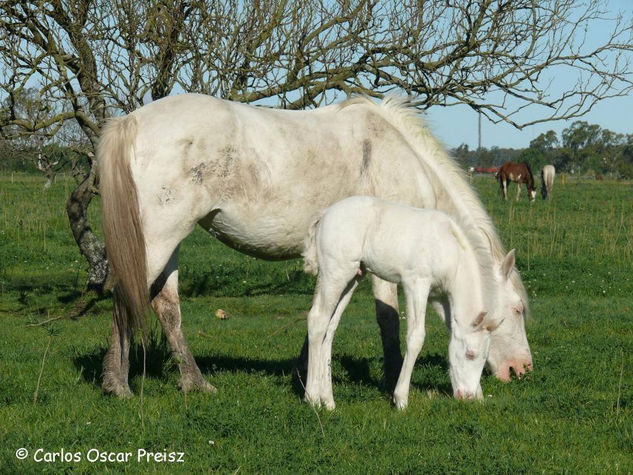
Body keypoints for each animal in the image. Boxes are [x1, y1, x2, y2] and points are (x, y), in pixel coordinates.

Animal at [302, 195, 512, 410]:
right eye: (470, 354)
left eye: (484, 358)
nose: (466, 397)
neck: (449, 250)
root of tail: (325, 213)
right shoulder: (416, 284)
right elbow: (416, 337)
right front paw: (401, 398)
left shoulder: (440, 296)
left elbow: (452, 328)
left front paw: (479, 394)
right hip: (335, 273)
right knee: (318, 320)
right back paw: (312, 397)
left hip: (353, 278)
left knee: (330, 326)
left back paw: (328, 400)